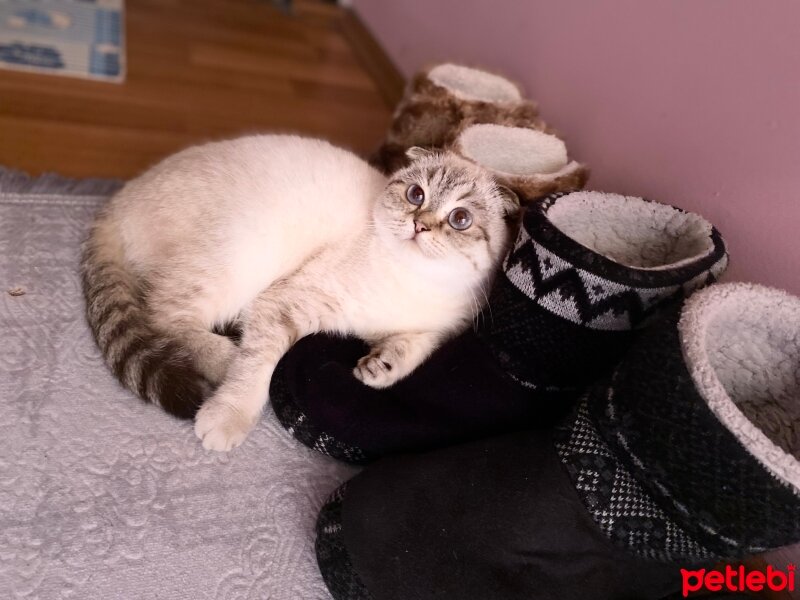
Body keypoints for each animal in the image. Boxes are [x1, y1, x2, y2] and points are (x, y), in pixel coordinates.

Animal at [83, 132, 520, 450]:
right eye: (416, 195)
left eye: (460, 219)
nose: (420, 225)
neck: (414, 283)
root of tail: (117, 202)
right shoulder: (282, 304)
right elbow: (255, 370)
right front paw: (227, 419)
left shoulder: (448, 325)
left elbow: (419, 345)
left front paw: (380, 368)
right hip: (241, 254)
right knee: (162, 314)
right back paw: (226, 356)